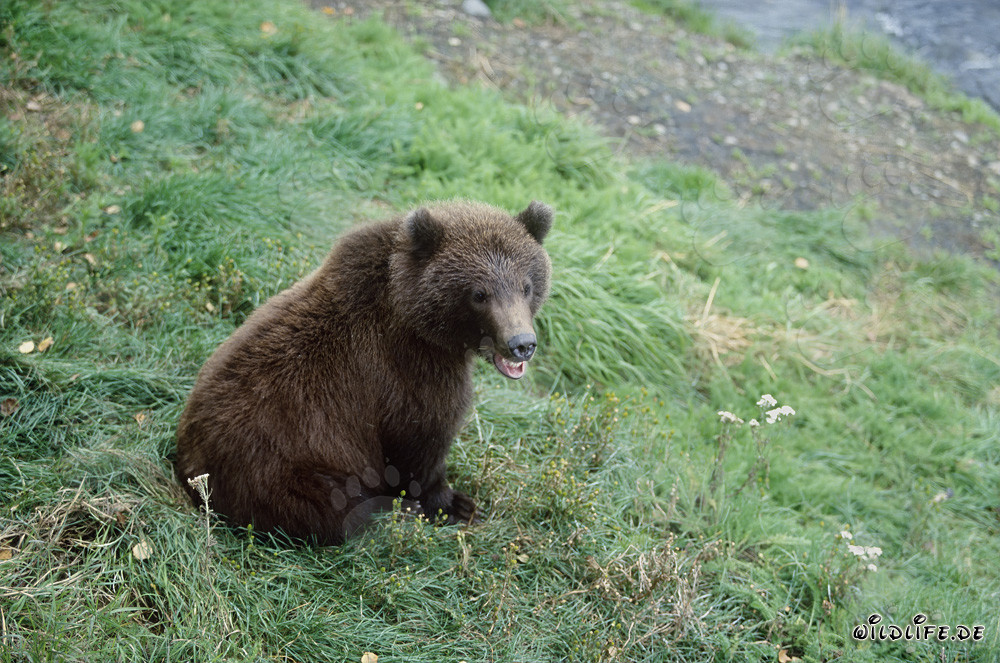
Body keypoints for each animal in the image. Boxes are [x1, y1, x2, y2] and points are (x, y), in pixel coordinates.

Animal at [174, 200, 553, 545]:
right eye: (479, 294)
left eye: (526, 286)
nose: (521, 343)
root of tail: (189, 466)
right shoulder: (407, 374)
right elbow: (423, 445)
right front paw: (454, 504)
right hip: (286, 467)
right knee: (336, 507)